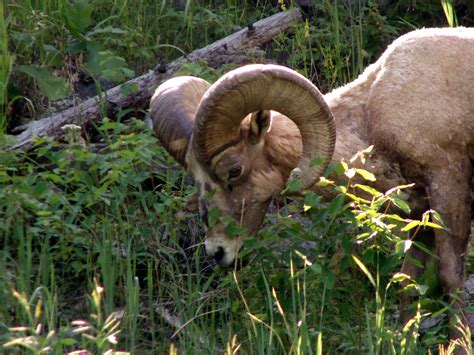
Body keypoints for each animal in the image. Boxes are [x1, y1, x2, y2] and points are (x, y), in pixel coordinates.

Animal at [152, 27, 474, 328]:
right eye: (195, 176)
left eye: (234, 170)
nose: (217, 252)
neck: (371, 119)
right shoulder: (419, 213)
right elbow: (408, 281)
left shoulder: (448, 187)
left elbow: (450, 278)